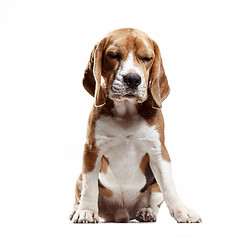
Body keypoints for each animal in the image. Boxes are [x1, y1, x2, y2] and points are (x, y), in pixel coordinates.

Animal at [69, 29, 202, 224]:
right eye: (113, 55)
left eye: (147, 58)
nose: (132, 79)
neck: (127, 112)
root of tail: (121, 214)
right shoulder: (92, 150)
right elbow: (89, 188)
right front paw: (86, 211)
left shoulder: (158, 152)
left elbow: (169, 187)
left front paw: (182, 211)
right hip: (79, 178)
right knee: (80, 193)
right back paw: (76, 210)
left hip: (154, 187)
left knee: (154, 201)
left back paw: (146, 212)